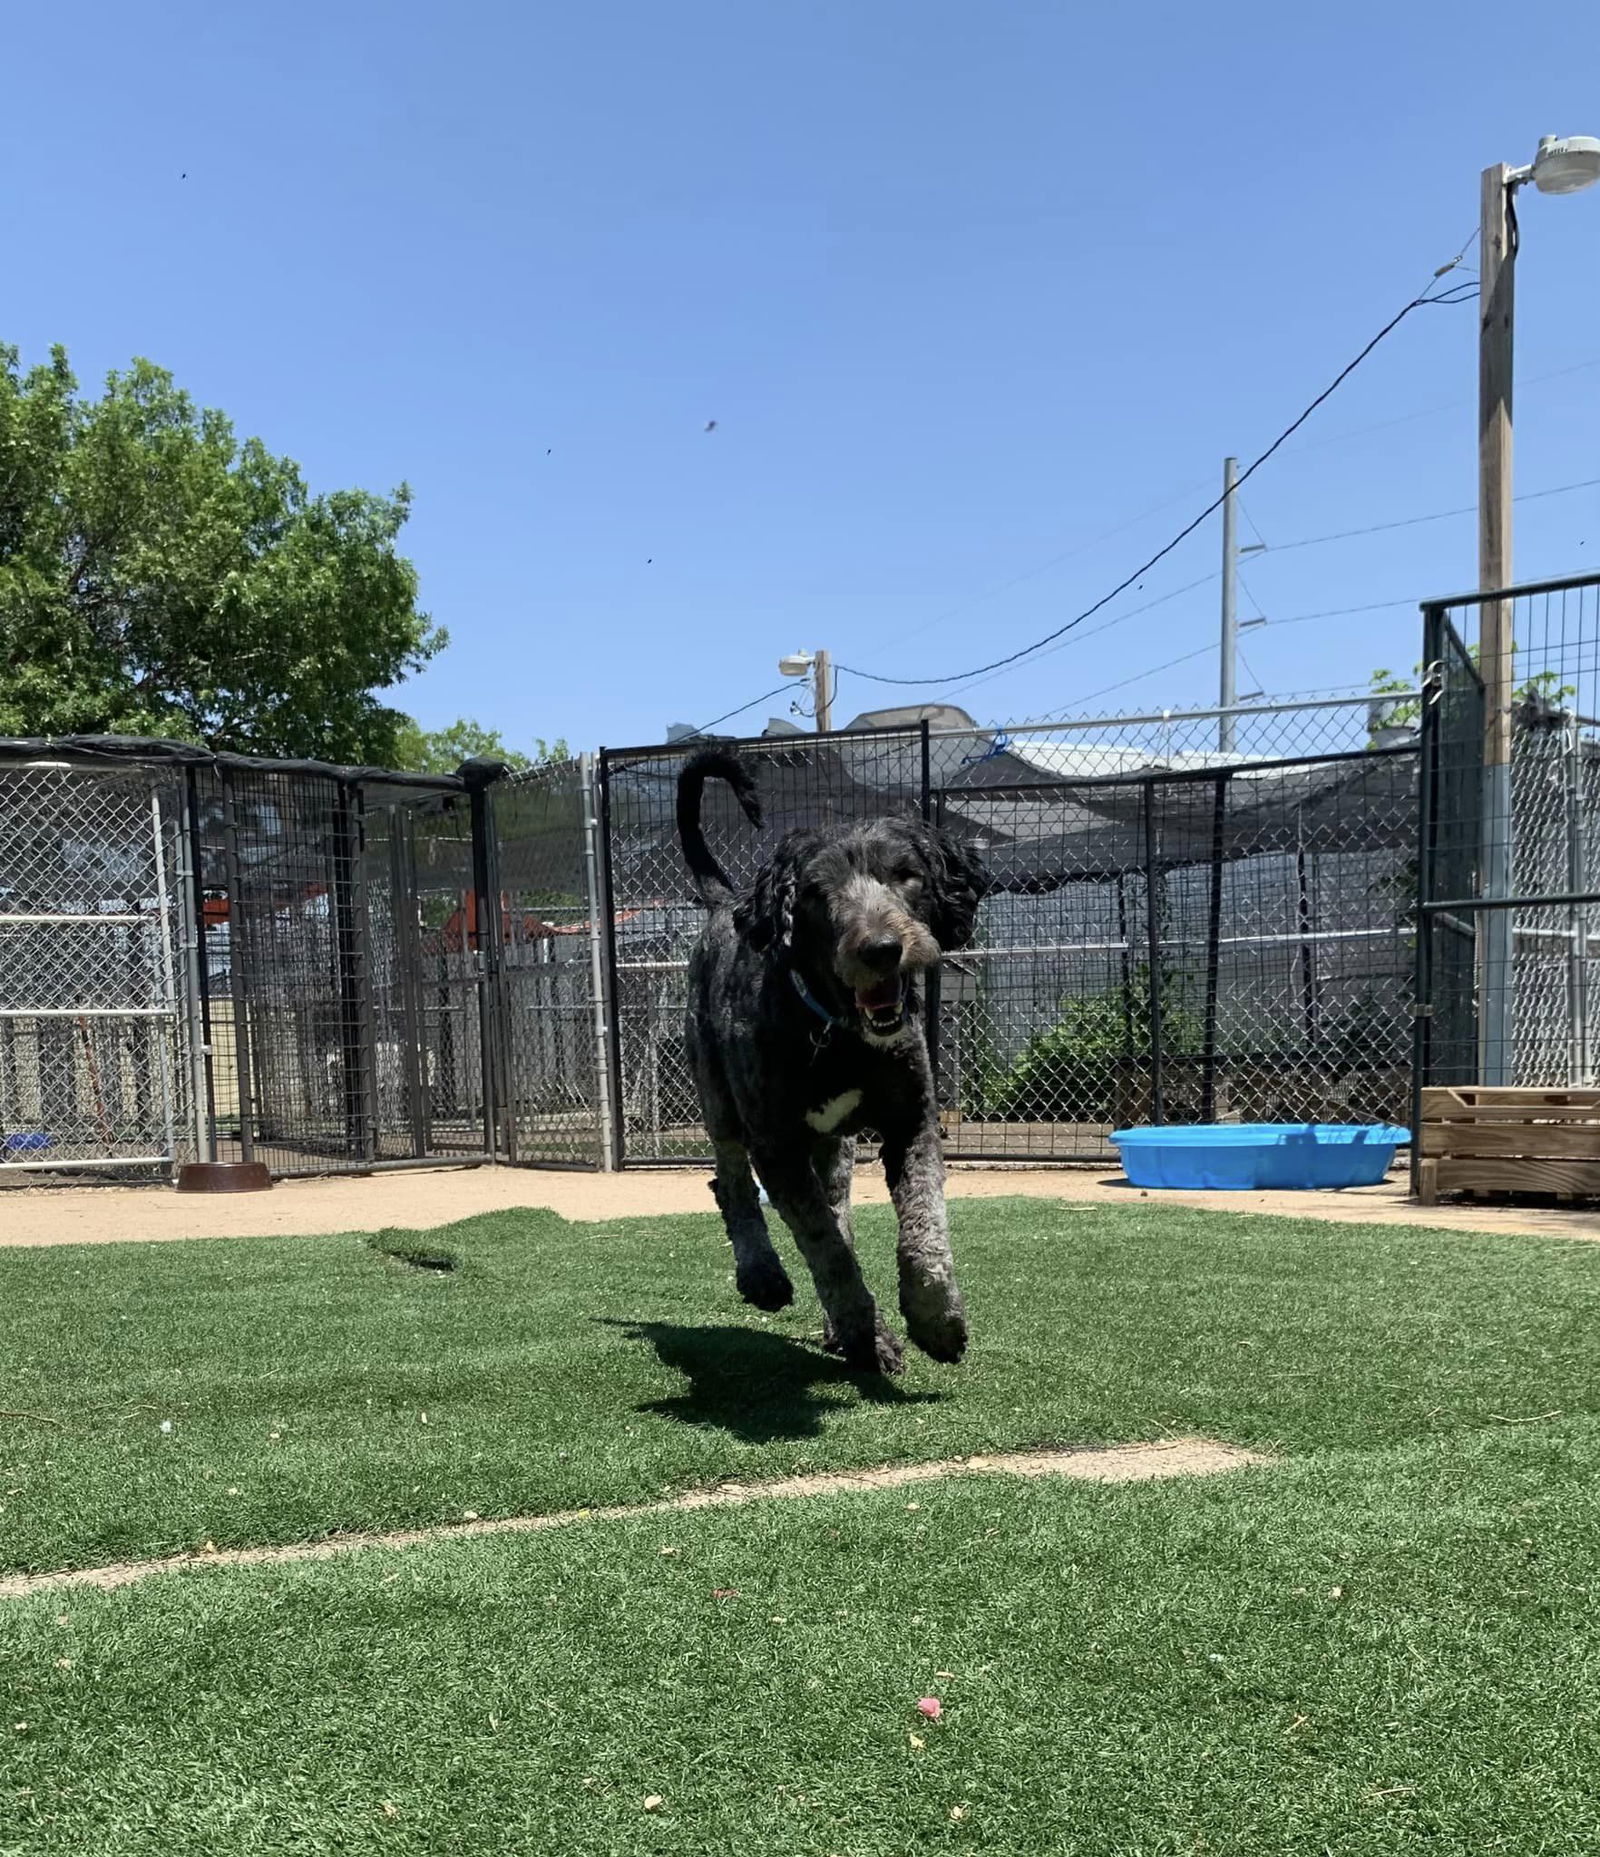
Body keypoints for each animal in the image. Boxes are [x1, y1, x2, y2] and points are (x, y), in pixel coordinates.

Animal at [671, 746, 980, 1374]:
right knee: (730, 1184)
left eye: (905, 875)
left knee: (835, 1206)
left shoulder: (912, 1122)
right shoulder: (777, 1147)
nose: (881, 949)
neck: (836, 1035)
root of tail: (725, 903)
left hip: (834, 1148)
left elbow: (923, 1223)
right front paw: (869, 1334)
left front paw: (935, 1320)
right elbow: (827, 1251)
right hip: (720, 1104)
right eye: (817, 891)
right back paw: (763, 1275)